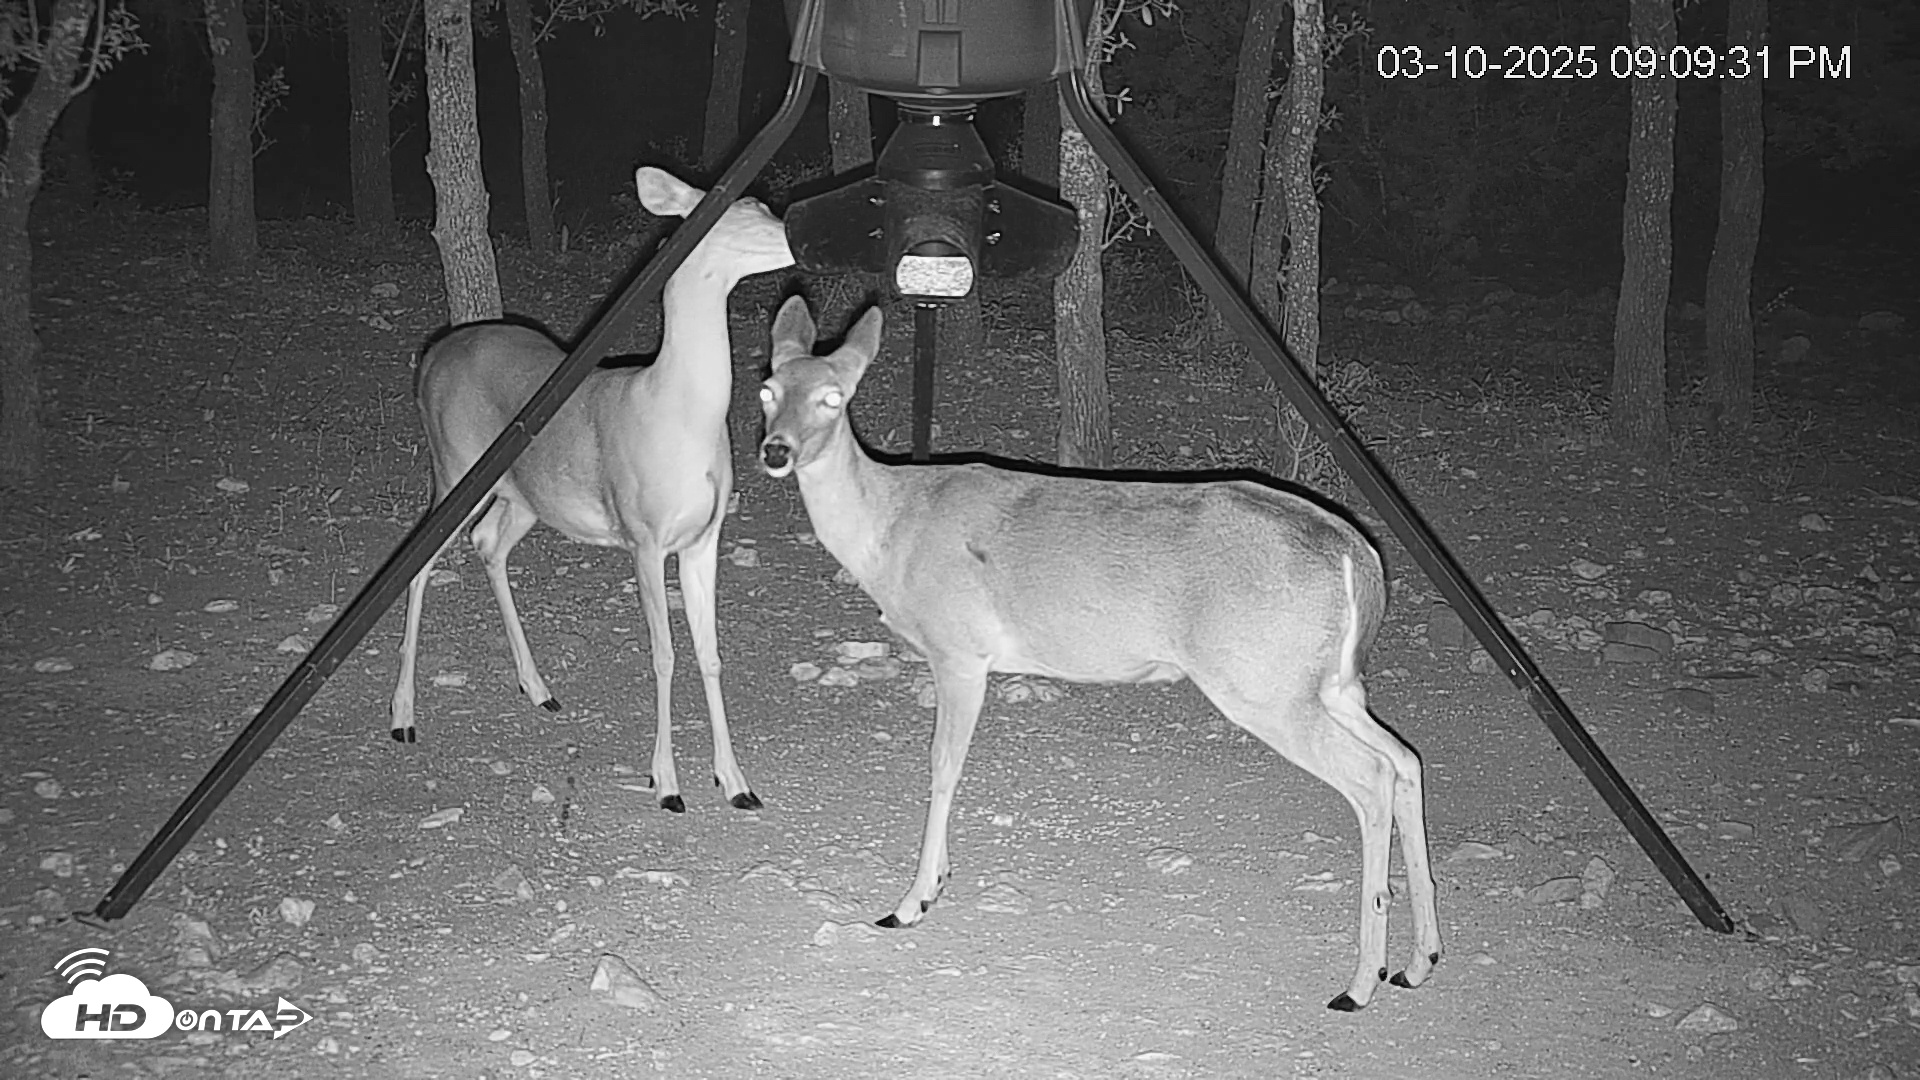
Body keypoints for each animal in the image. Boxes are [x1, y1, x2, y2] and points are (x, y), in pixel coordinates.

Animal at [387, 166, 787, 807]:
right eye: (741, 209)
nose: (795, 230)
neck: (680, 414)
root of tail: (429, 359)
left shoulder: (705, 536)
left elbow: (710, 653)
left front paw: (735, 782)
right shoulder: (643, 534)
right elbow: (664, 654)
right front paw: (665, 782)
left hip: (521, 495)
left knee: (488, 543)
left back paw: (538, 687)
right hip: (452, 467)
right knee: (418, 564)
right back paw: (402, 715)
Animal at [752, 295, 1443, 1006]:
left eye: (834, 398)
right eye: (767, 389)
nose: (776, 450)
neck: (889, 531)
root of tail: (1358, 557)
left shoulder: (959, 649)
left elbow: (943, 767)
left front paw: (911, 901)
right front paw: (933, 886)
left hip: (1264, 685)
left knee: (1371, 777)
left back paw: (1360, 982)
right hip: (1331, 683)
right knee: (1406, 759)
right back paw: (1419, 960)